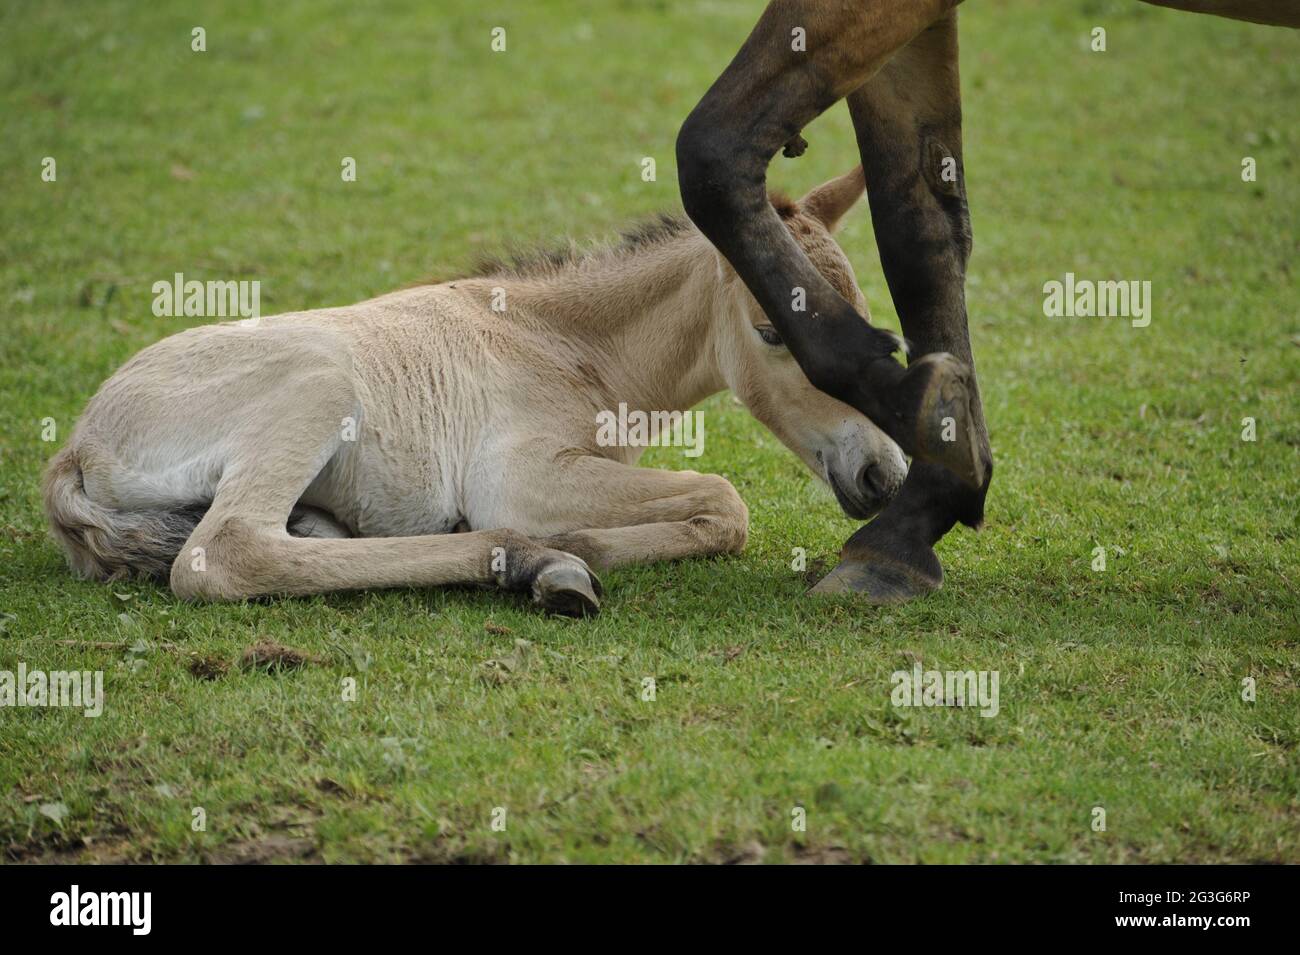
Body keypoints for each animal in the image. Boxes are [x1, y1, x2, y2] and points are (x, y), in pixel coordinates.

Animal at [44, 169, 909, 616]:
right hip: (316, 389)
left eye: (871, 322)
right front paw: (581, 541)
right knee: (226, 553)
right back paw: (536, 560)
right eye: (773, 331)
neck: (559, 341)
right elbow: (726, 500)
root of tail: (75, 449)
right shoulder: (518, 474)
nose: (883, 473)